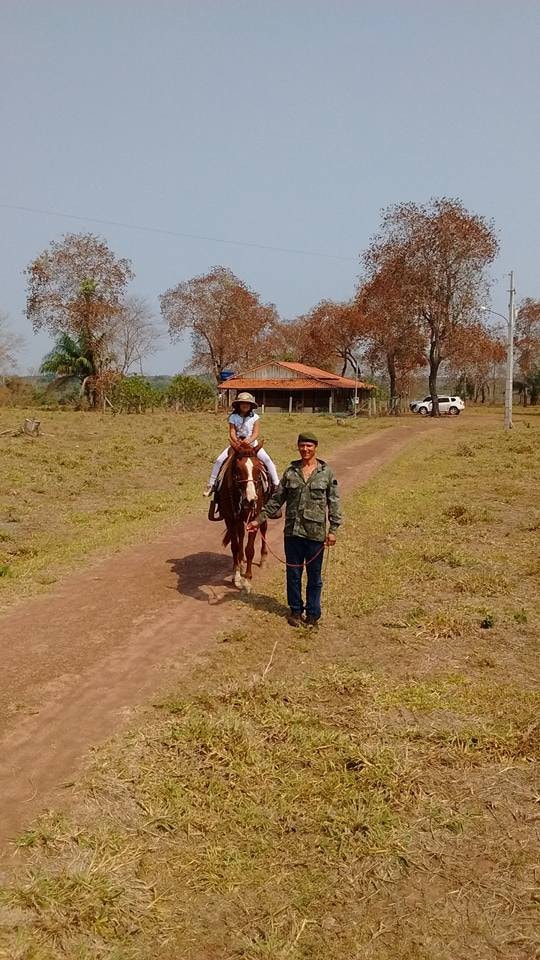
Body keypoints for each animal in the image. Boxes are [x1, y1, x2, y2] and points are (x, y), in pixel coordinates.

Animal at [217, 444, 268, 592]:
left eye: (258, 469)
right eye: (238, 470)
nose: (251, 500)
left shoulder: (254, 517)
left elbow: (250, 549)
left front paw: (247, 579)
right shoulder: (230, 519)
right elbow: (235, 546)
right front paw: (237, 576)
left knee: (264, 528)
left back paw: (263, 559)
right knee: (240, 535)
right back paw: (240, 563)